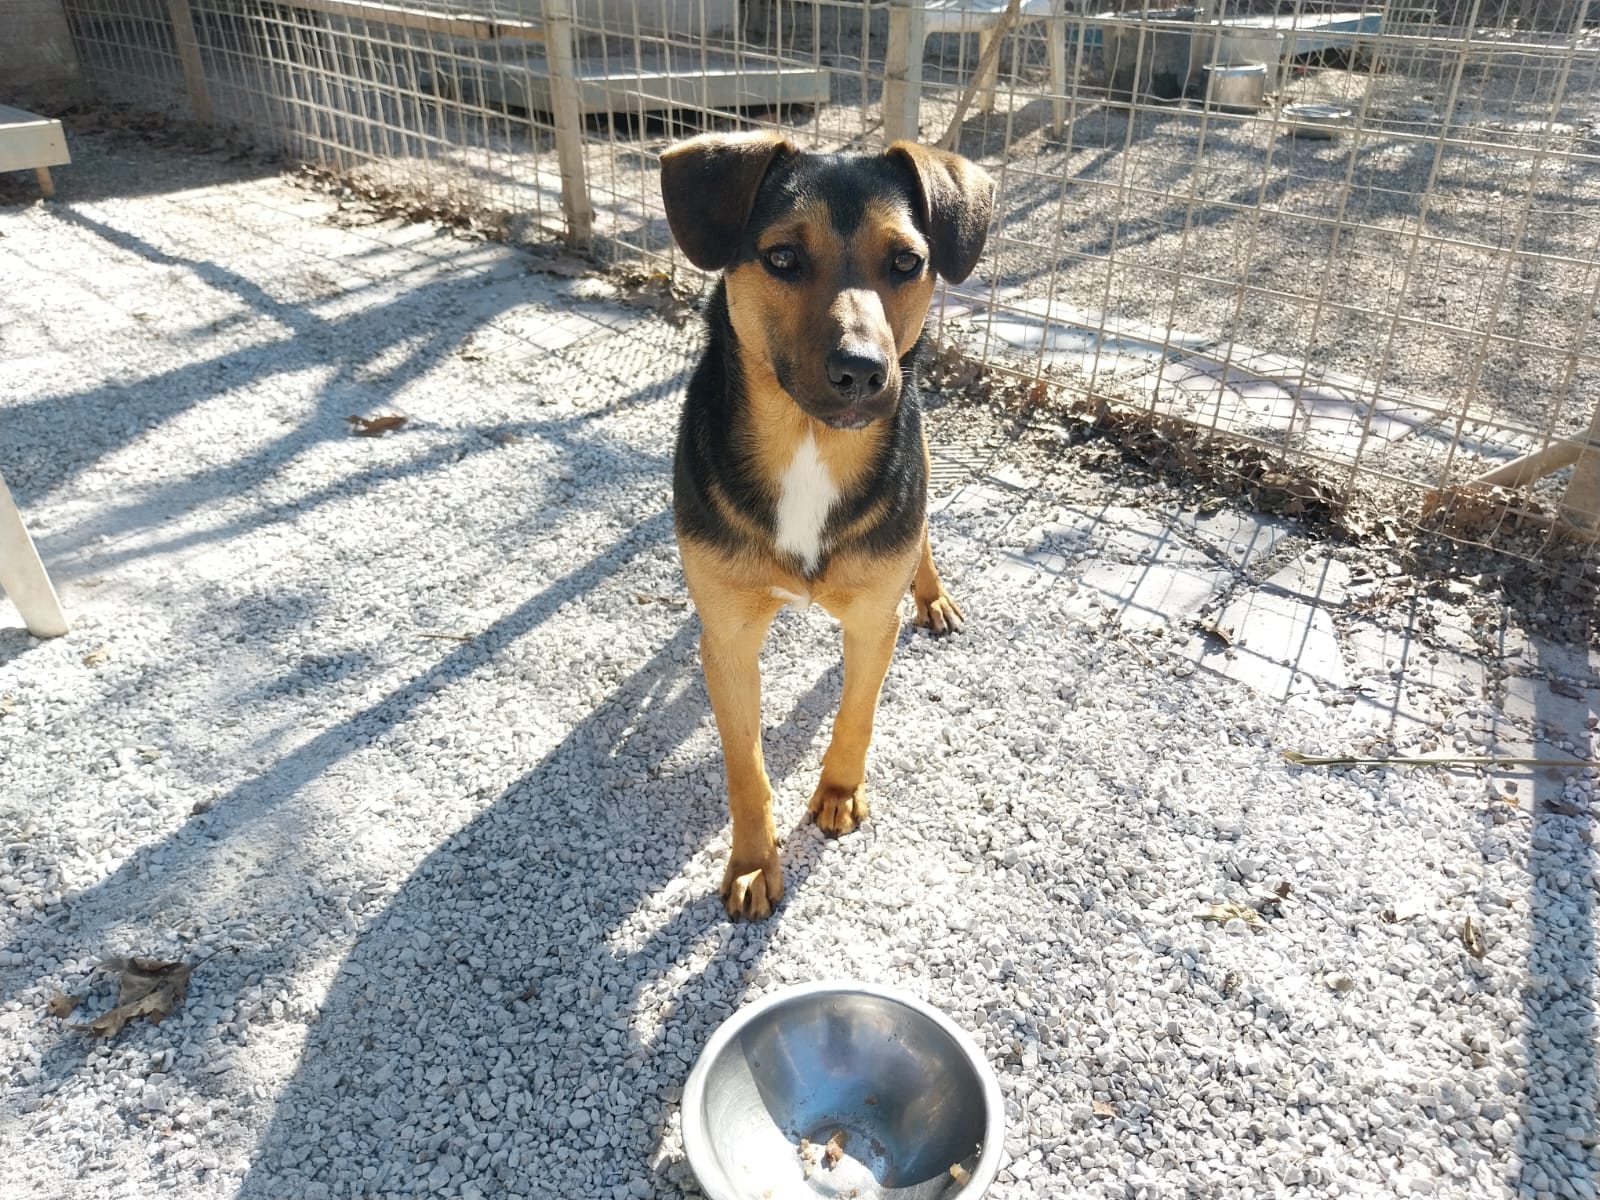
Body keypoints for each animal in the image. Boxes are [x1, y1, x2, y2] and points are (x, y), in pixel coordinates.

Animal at [659, 133, 994, 919]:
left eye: (905, 261)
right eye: (782, 257)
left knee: (922, 532)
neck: (809, 445)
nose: (863, 371)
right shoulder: (727, 638)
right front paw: (754, 862)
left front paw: (839, 793)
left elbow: (857, 716)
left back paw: (933, 595)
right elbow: (745, 765)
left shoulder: (872, 621)